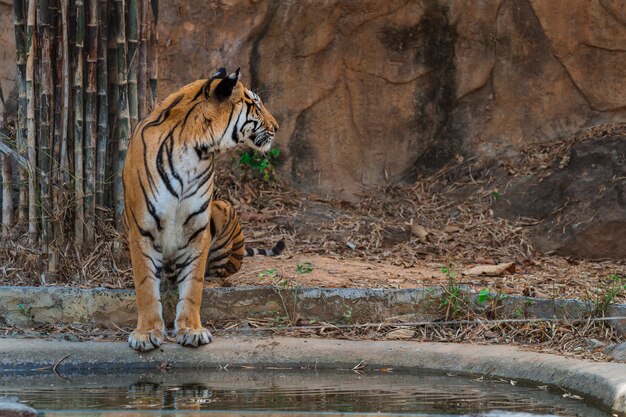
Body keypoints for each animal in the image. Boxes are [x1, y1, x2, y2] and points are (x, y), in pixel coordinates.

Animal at [122, 68, 278, 352]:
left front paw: (191, 330)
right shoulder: (142, 229)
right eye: (256, 104)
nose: (277, 127)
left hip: (224, 208)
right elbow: (145, 286)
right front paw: (146, 333)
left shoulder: (197, 228)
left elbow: (193, 285)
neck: (196, 150)